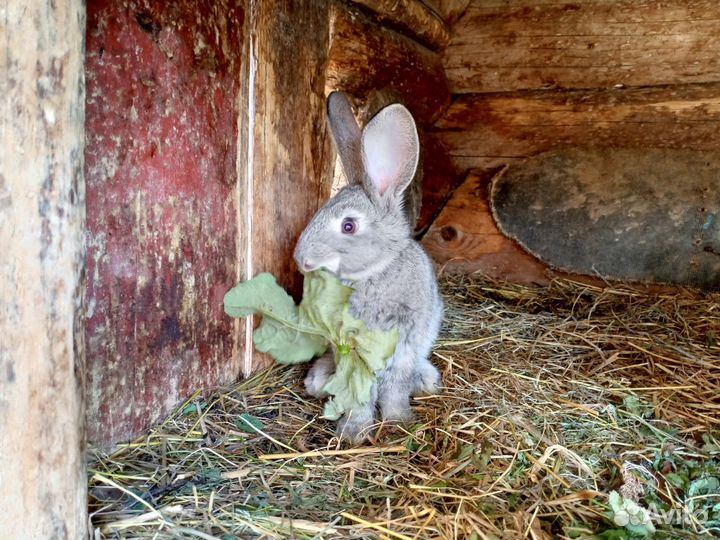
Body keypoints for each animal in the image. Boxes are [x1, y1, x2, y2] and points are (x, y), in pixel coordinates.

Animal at [294, 93, 442, 446]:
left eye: (348, 226)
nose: (301, 259)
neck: (374, 272)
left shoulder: (404, 346)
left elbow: (396, 388)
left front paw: (399, 421)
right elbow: (358, 391)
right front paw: (353, 433)